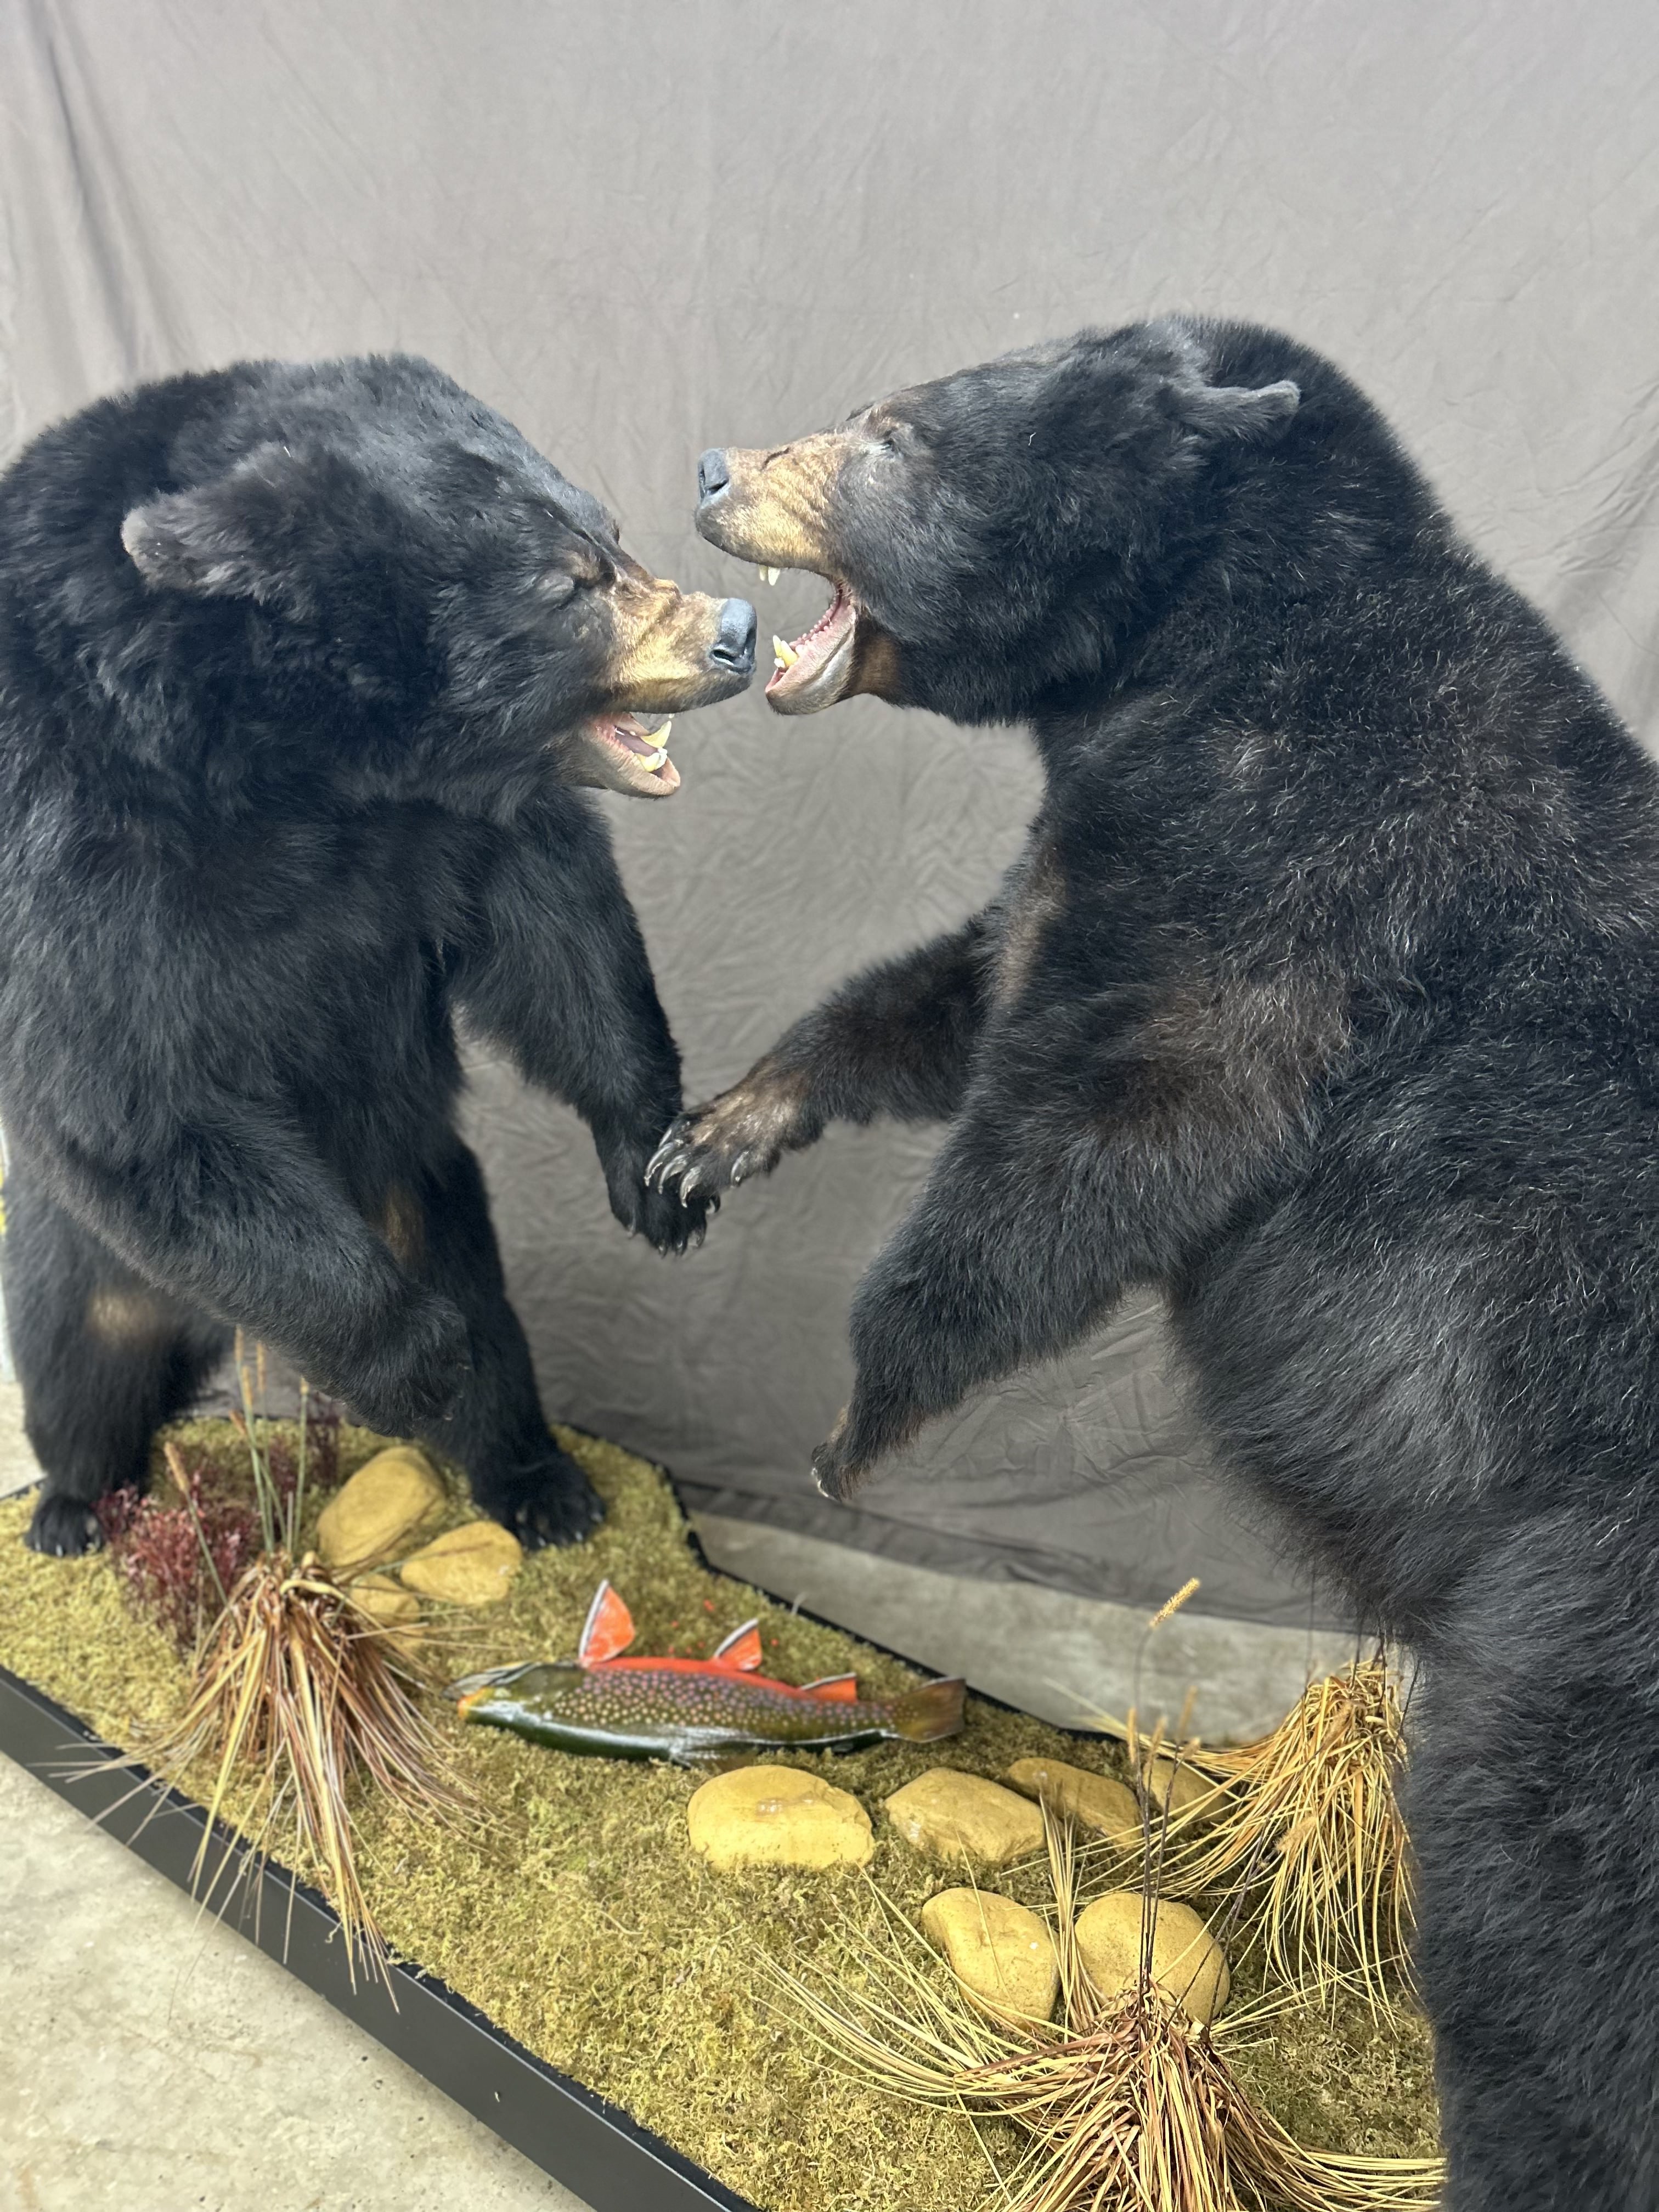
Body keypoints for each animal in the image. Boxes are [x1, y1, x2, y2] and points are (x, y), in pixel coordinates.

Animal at [0, 353, 755, 1558]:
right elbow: (131, 1101)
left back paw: (543, 1483)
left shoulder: (444, 831)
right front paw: (413, 1355)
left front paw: (661, 1172)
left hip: (431, 1205)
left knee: (503, 1355)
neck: (294, 769)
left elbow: (560, 935)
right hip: (75, 1267)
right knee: (80, 1381)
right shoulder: (71, 855)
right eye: (564, 585)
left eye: (608, 532)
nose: (733, 625)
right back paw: (72, 1509)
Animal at [650, 316, 1659, 2206]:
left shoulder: (1286, 871)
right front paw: (721, 1130)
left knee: (1547, 1952)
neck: (1208, 642)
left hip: (1585, 1648)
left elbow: (1090, 1144)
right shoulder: (1090, 860)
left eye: (896, 432)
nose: (712, 467)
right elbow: (953, 988)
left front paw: (851, 1423)